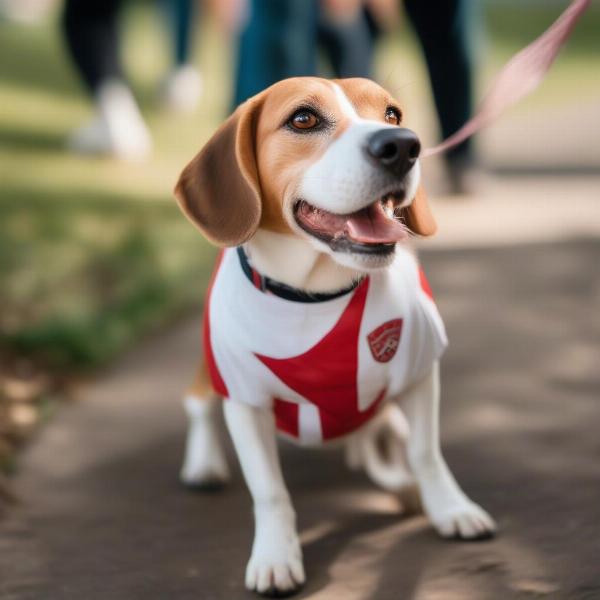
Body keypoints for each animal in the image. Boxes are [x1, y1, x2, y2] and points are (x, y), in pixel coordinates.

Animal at [172, 78, 492, 596]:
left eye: (392, 115)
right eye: (303, 119)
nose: (404, 147)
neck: (315, 296)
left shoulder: (421, 372)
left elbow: (426, 453)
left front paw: (450, 508)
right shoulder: (245, 401)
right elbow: (270, 490)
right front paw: (275, 556)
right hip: (210, 369)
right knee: (197, 404)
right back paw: (203, 464)